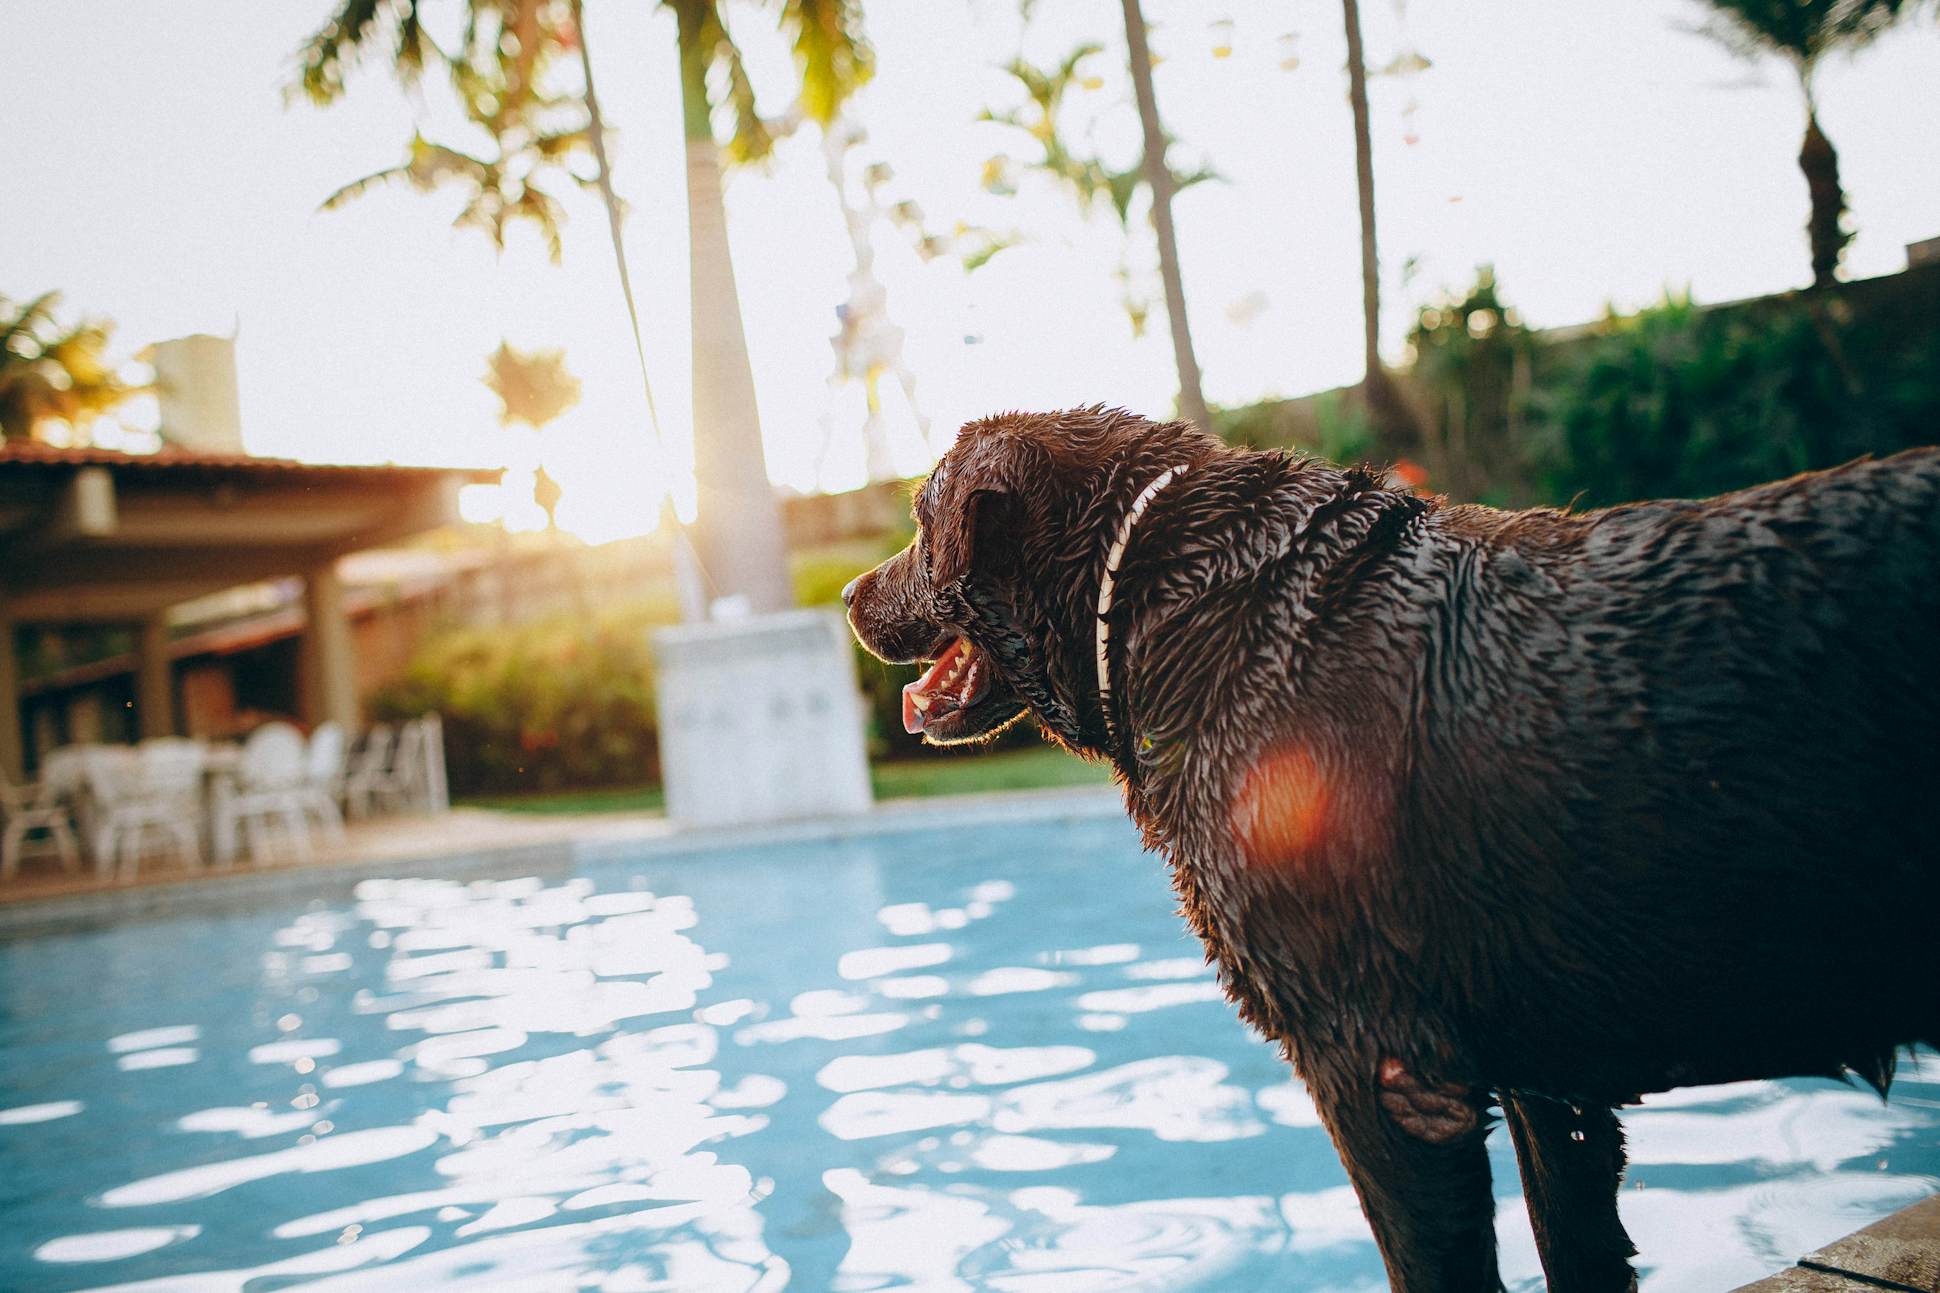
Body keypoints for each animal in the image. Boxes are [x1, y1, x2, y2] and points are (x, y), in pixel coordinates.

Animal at [845, 405, 1940, 1289]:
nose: (851, 592)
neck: (1182, 606)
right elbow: (1577, 1248)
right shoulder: (1551, 1081)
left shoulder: (1377, 1070)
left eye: (918, 523)